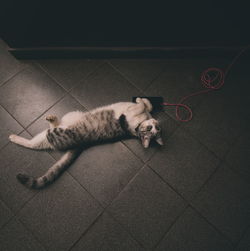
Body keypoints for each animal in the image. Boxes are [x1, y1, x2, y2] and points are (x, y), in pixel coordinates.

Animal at [8, 97, 163, 188]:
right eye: (151, 128)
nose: (155, 125)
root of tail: (79, 144)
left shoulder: (130, 114)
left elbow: (141, 106)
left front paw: (139, 100)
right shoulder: (137, 114)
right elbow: (147, 105)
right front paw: (143, 100)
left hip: (55, 134)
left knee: (49, 131)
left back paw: (51, 120)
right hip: (57, 128)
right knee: (31, 144)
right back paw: (14, 137)